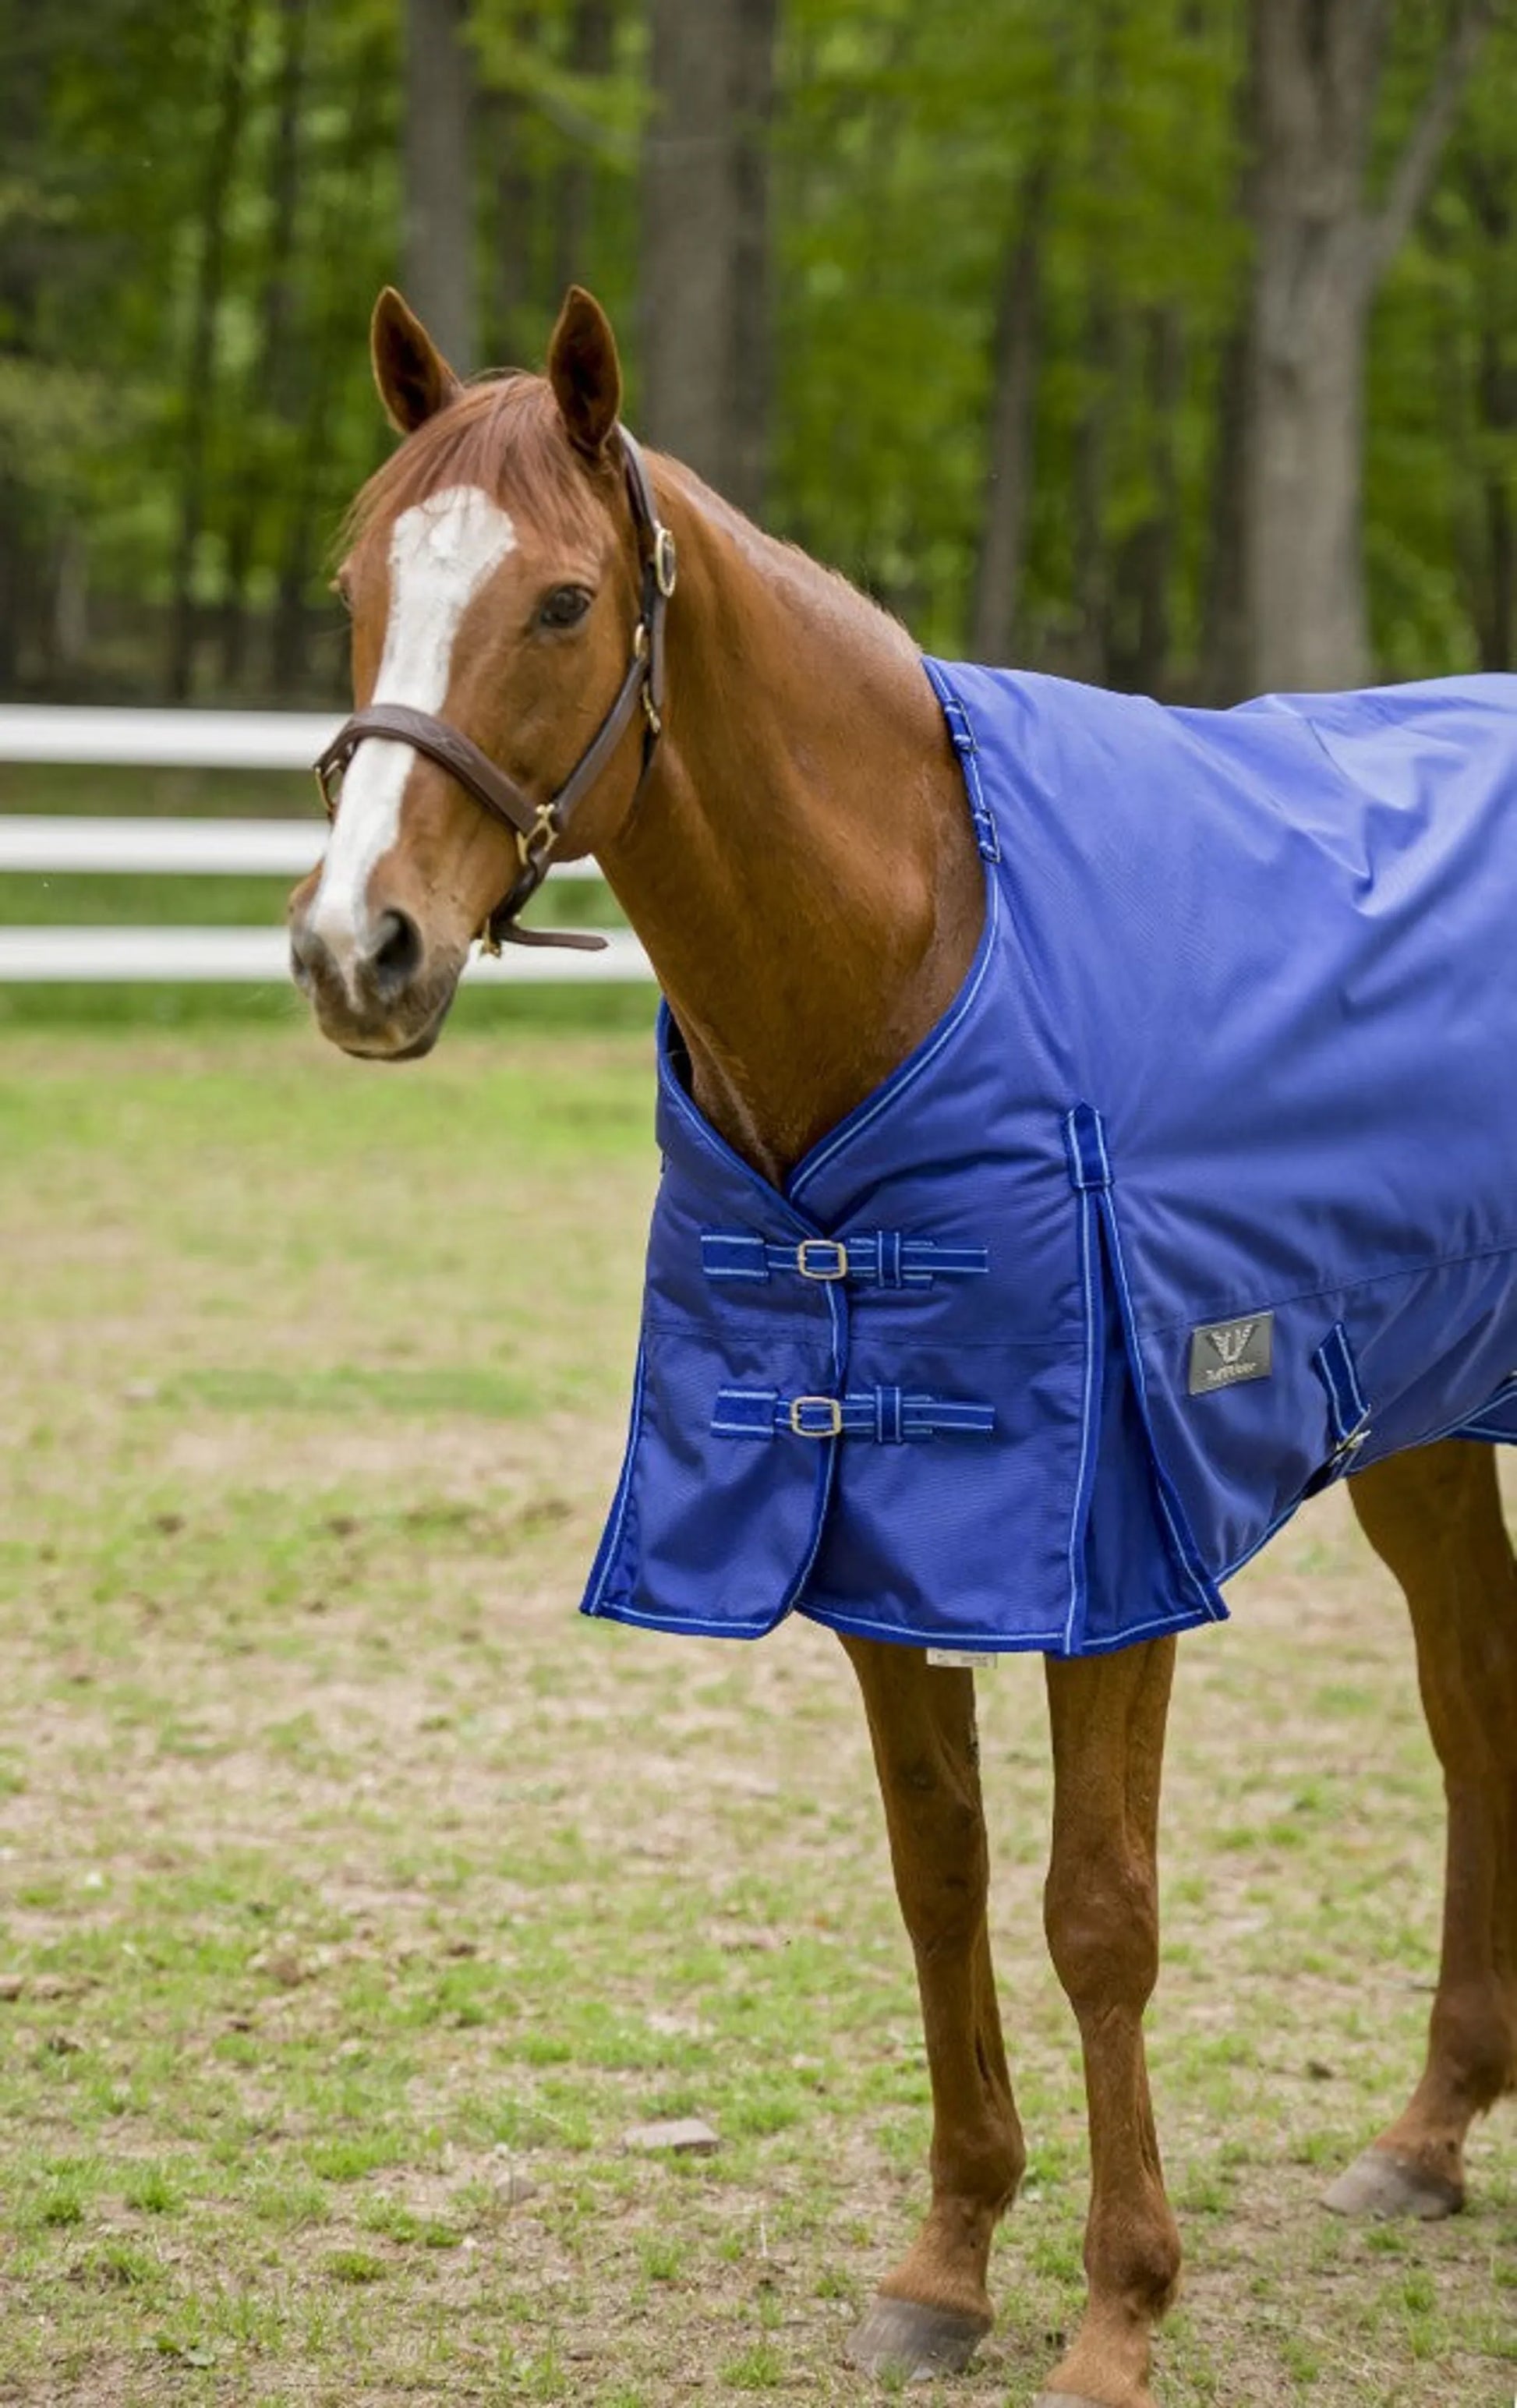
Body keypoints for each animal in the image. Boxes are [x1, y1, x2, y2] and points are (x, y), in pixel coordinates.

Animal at [288, 283, 1517, 2408]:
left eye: (558, 602)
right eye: (363, 584)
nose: (355, 948)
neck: (919, 944)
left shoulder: (1106, 1548)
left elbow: (1096, 1910)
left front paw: (1118, 2310)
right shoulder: (877, 1521)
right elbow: (938, 1878)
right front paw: (948, 2260)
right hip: (1425, 1424)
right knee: (1476, 1702)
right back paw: (1428, 2134)